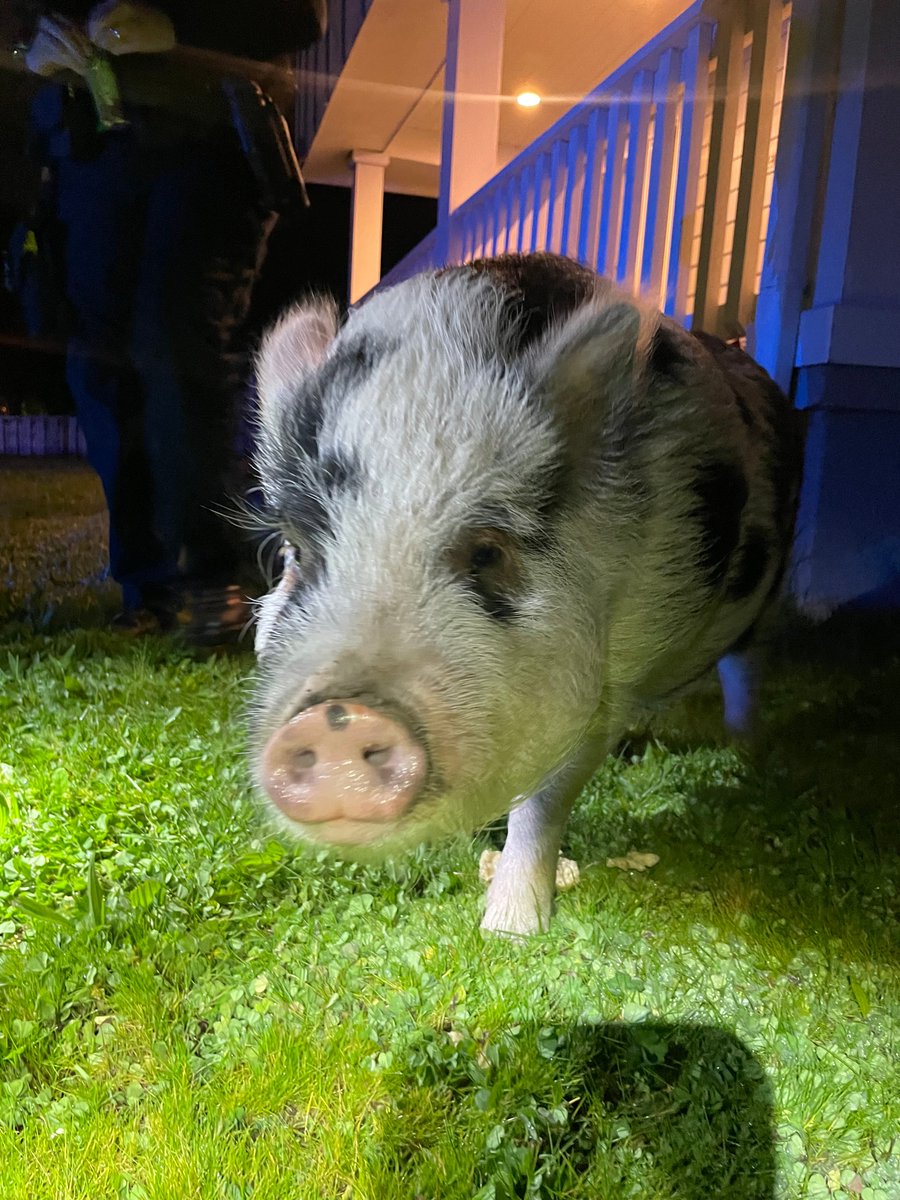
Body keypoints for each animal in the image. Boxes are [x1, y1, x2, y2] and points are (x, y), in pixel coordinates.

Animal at [249, 253, 801, 936]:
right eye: (294, 552)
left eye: (488, 552)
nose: (339, 717)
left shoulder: (604, 681)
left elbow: (547, 795)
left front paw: (510, 930)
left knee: (748, 664)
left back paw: (748, 748)